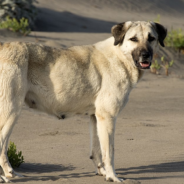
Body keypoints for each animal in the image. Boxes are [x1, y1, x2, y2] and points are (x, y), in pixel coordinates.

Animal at [0, 20, 167, 182]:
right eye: (133, 39)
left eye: (151, 38)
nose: (146, 55)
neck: (120, 56)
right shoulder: (108, 117)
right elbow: (109, 152)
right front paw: (113, 176)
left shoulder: (96, 117)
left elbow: (97, 150)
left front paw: (103, 173)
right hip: (11, 111)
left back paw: (10, 173)